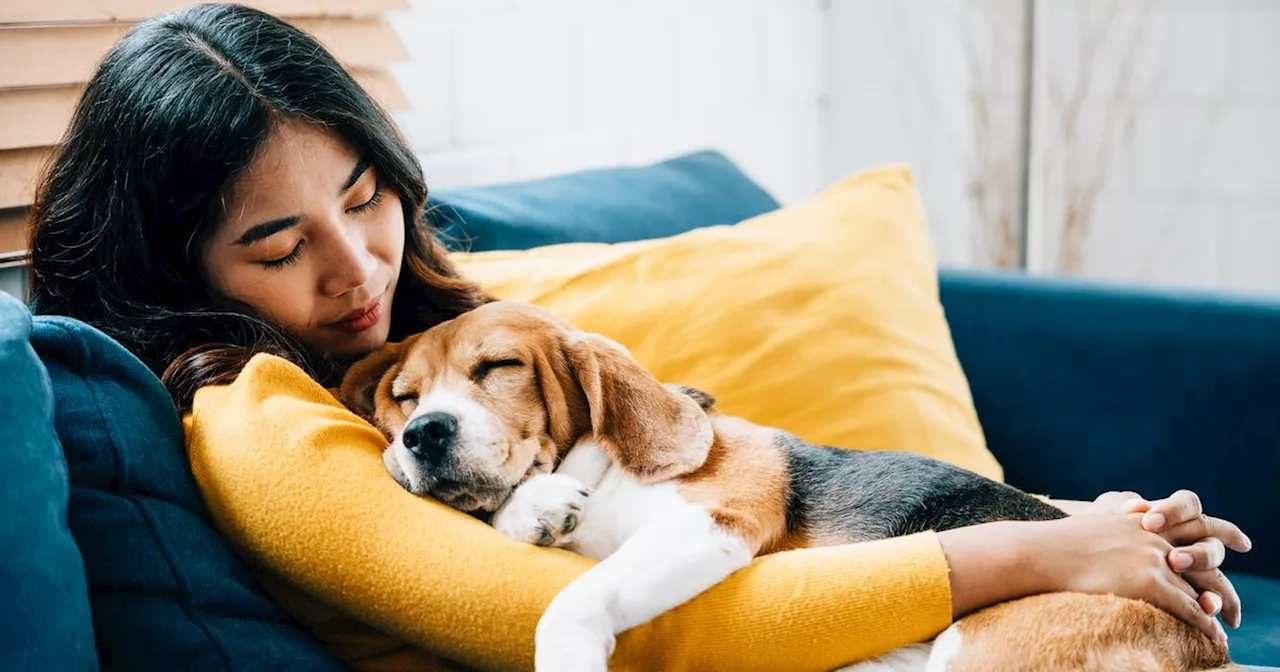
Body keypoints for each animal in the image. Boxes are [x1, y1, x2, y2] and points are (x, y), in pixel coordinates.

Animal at [337, 302, 1228, 670]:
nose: (424, 435)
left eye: (498, 367)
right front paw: (534, 509)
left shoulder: (713, 520)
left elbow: (576, 598)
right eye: (405, 397)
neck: (605, 469)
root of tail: (1207, 642)